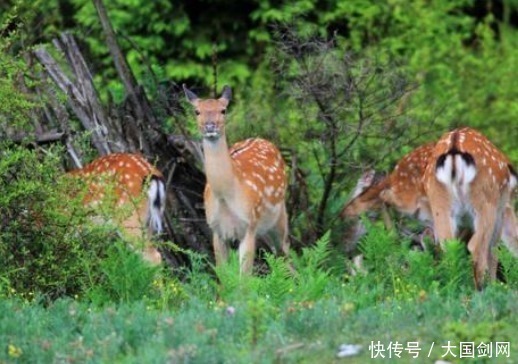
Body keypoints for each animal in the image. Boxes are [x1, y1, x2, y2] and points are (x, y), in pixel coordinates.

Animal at [183, 84, 290, 272]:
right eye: (197, 111)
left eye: (223, 110)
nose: (210, 126)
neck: (226, 198)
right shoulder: (216, 230)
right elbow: (223, 276)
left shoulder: (249, 226)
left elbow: (244, 279)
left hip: (279, 216)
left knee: (286, 250)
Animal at [344, 128, 516, 290]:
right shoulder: (500, 209)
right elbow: (494, 250)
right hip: (484, 204)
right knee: (477, 247)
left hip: (440, 205)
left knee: (446, 244)